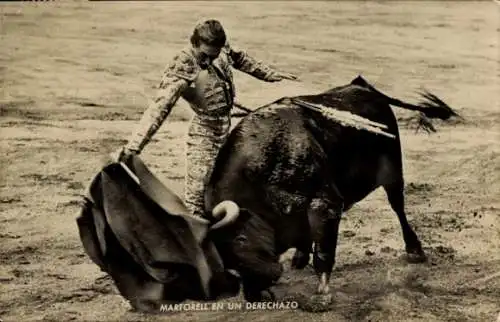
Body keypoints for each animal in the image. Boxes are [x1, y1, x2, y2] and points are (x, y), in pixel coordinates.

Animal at [201, 75, 458, 304]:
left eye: (241, 245)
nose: (254, 296)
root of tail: (362, 86)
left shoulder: (326, 205)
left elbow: (324, 253)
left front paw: (322, 294)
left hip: (393, 172)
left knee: (398, 207)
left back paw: (415, 250)